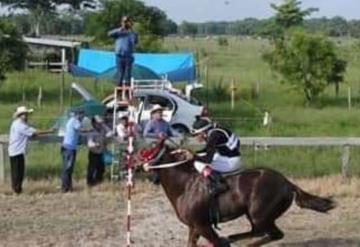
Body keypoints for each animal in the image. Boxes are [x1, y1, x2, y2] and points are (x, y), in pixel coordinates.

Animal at [139, 143, 336, 247]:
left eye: (149, 151)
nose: (136, 162)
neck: (185, 186)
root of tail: (288, 183)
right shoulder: (194, 227)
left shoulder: (202, 225)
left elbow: (216, 242)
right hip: (254, 215)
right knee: (257, 232)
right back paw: (233, 238)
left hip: (259, 215)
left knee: (274, 234)